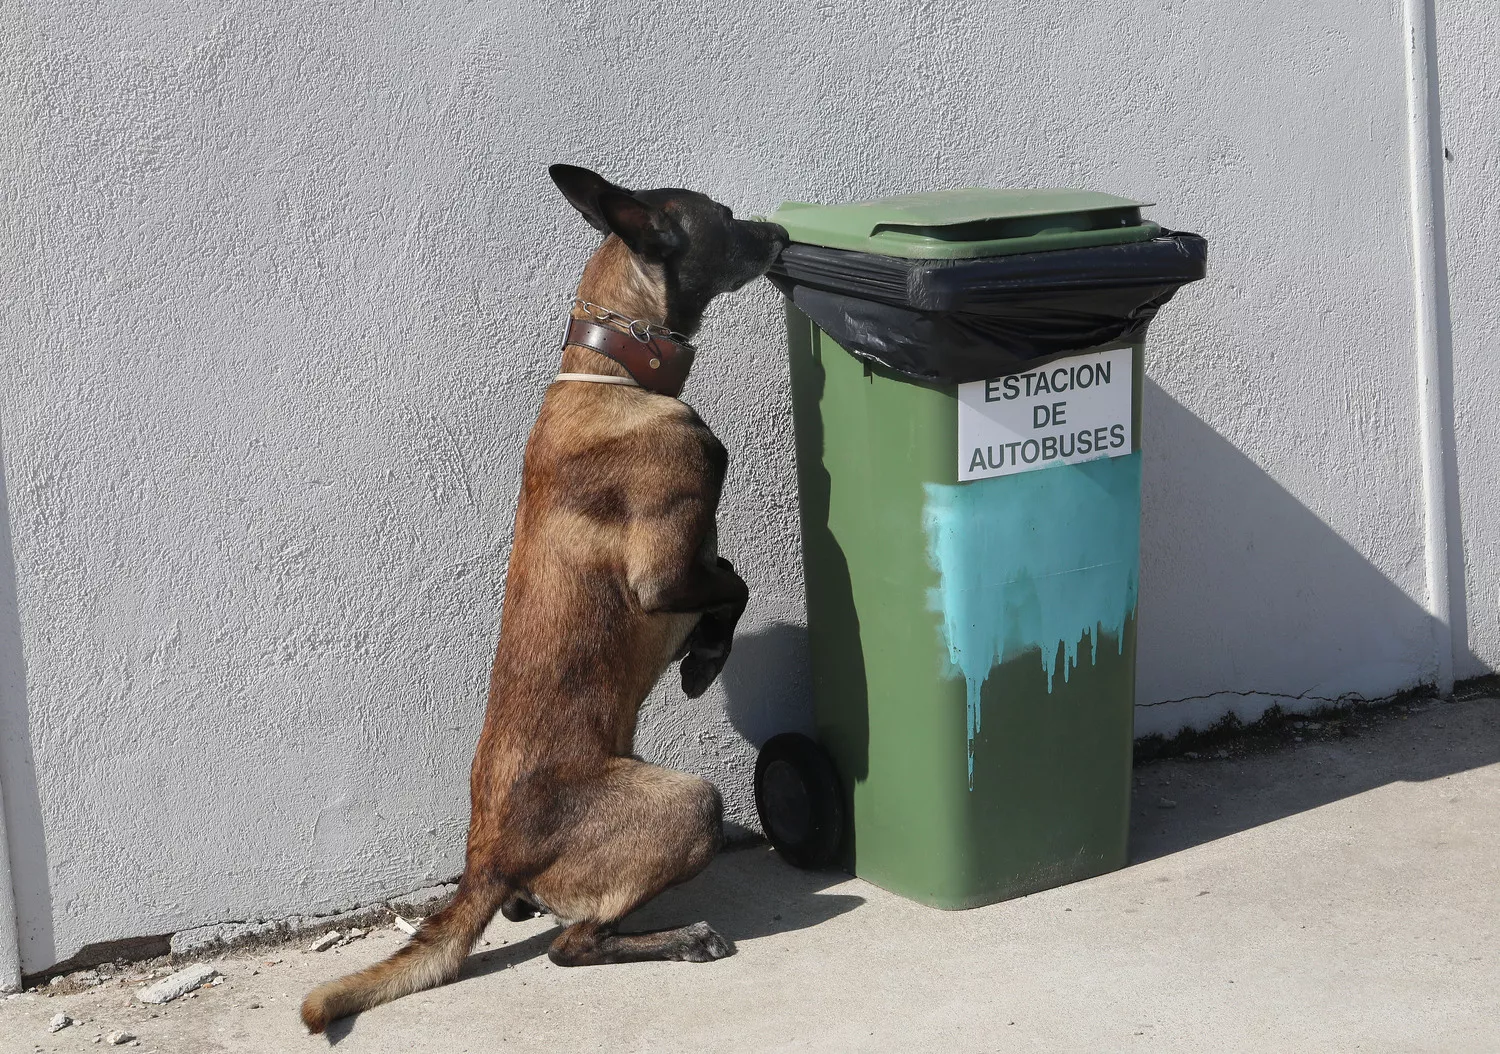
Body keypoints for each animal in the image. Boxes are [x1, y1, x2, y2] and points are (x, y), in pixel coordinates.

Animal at [304, 164, 798, 1031]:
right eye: (728, 217)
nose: (784, 235)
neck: (611, 371)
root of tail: (486, 860)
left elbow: (730, 574)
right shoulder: (665, 572)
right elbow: (735, 579)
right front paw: (705, 659)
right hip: (691, 800)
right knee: (574, 946)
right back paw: (679, 937)